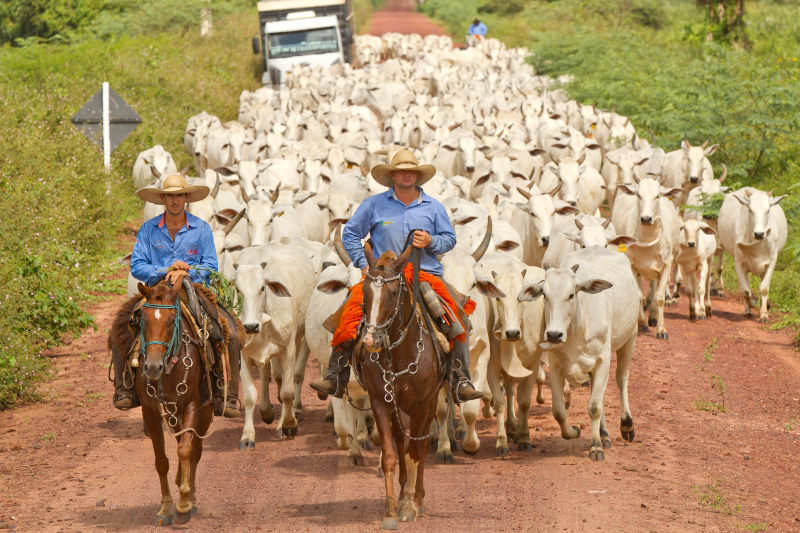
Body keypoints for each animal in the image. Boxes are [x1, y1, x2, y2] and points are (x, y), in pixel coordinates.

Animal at [111, 280, 216, 524]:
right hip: (171, 411)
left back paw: (190, 495)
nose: (152, 367)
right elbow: (161, 461)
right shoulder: (150, 411)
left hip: (204, 409)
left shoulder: (191, 404)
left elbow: (187, 450)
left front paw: (185, 504)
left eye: (170, 320)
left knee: (195, 449)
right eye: (143, 320)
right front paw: (166, 508)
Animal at [356, 245, 450, 528]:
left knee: (419, 447)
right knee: (400, 443)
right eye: (365, 291)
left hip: (431, 404)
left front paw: (409, 505)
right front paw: (390, 511)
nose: (371, 340)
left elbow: (415, 453)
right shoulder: (381, 403)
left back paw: (417, 499)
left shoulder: (421, 406)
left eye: (392, 293)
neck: (399, 355)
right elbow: (390, 456)